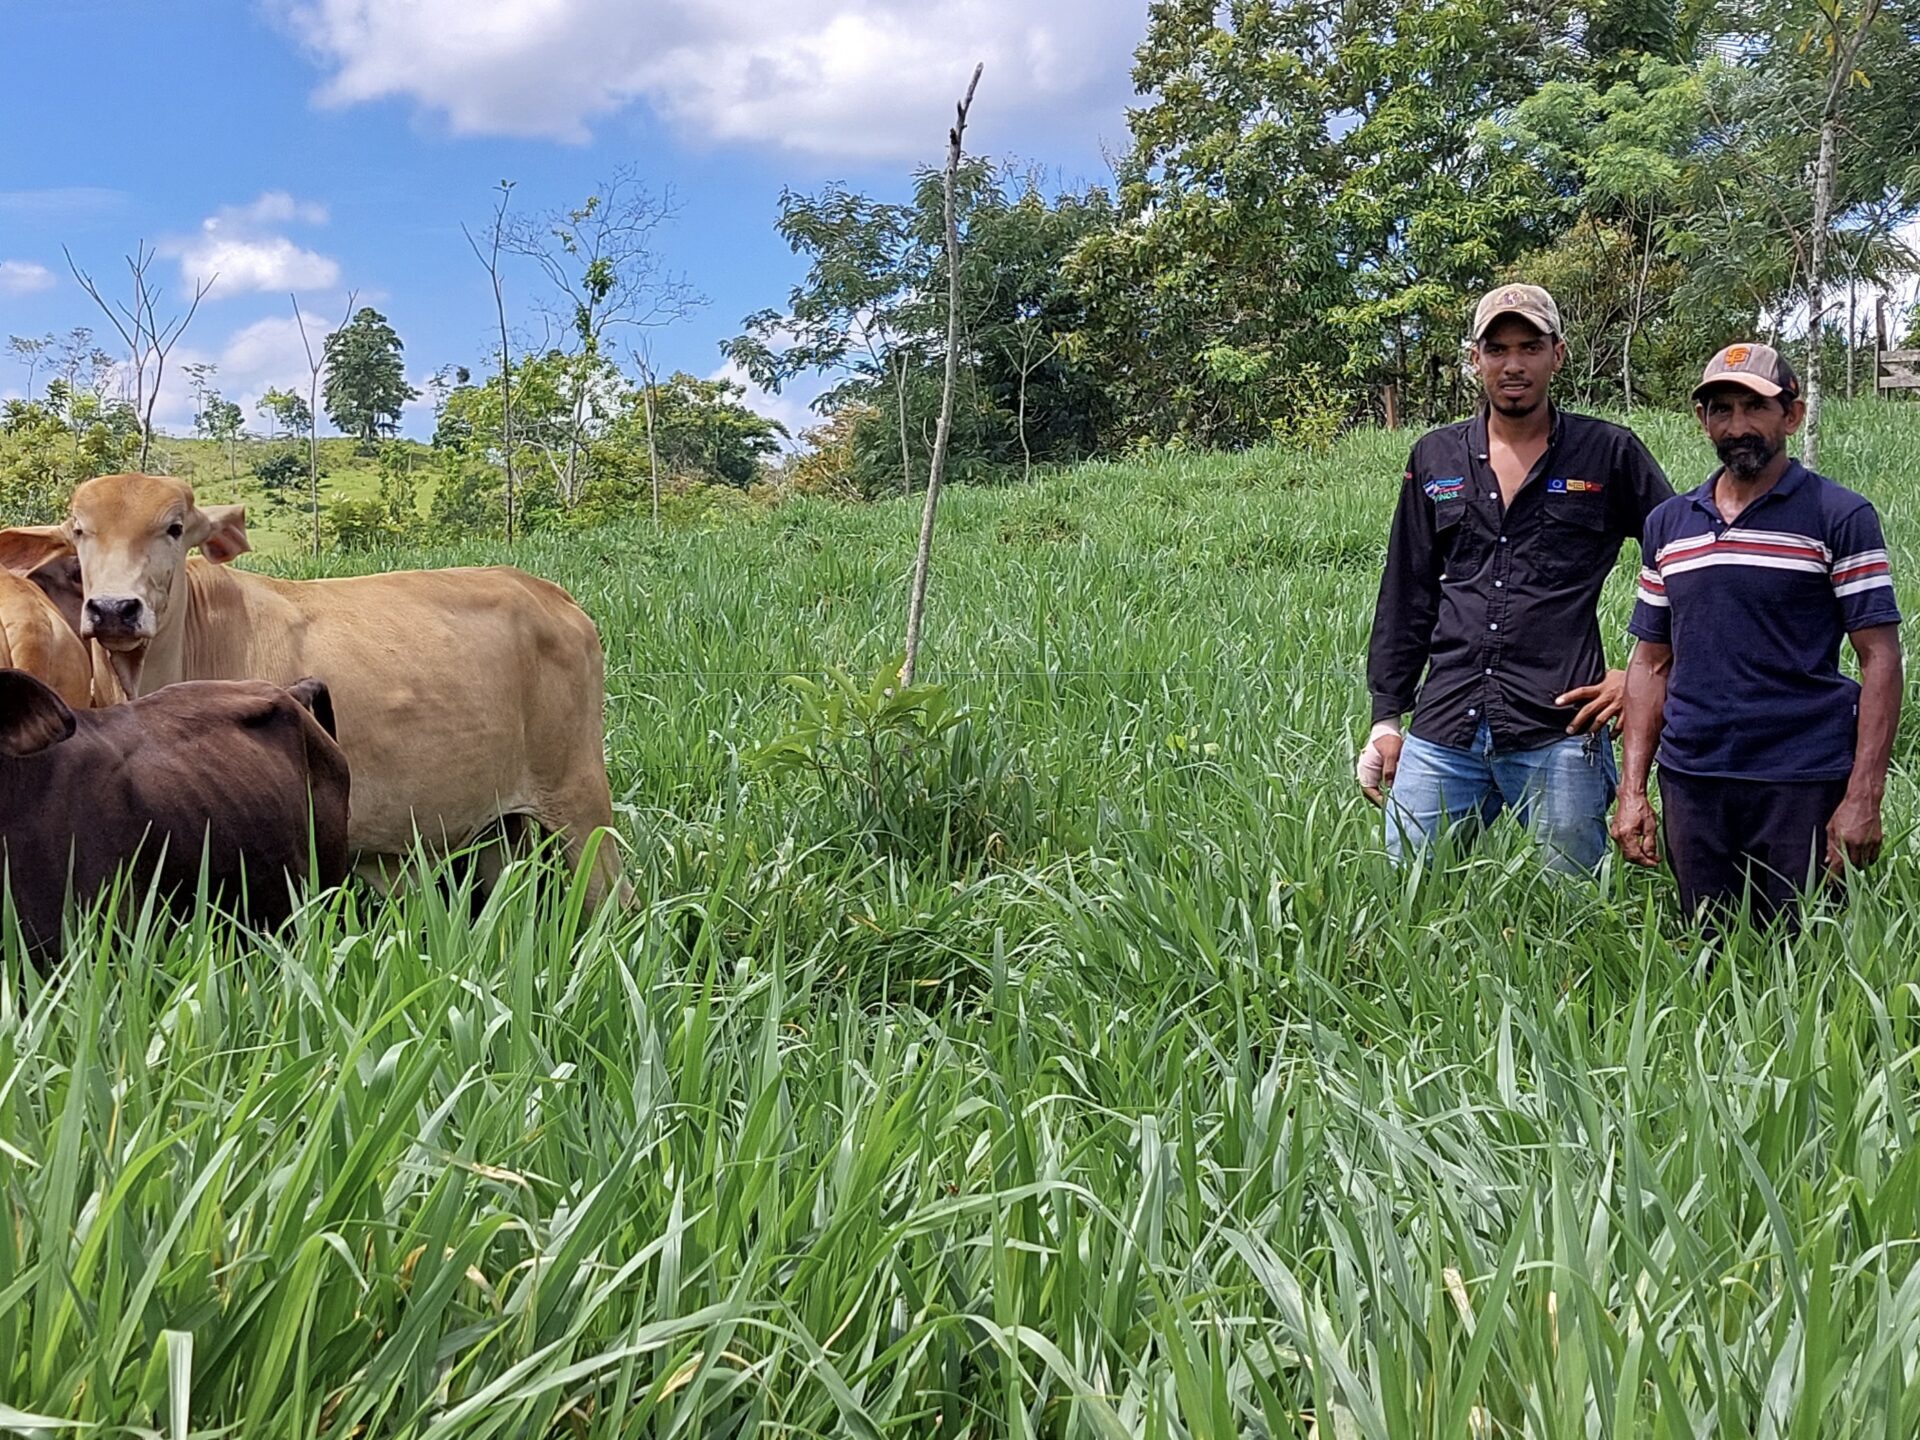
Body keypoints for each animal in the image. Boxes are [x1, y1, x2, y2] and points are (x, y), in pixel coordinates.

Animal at [0, 480, 629, 906]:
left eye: (175, 528)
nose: (114, 609)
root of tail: (549, 592)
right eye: (79, 531)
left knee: (612, 898)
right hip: (499, 824)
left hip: (579, 801)